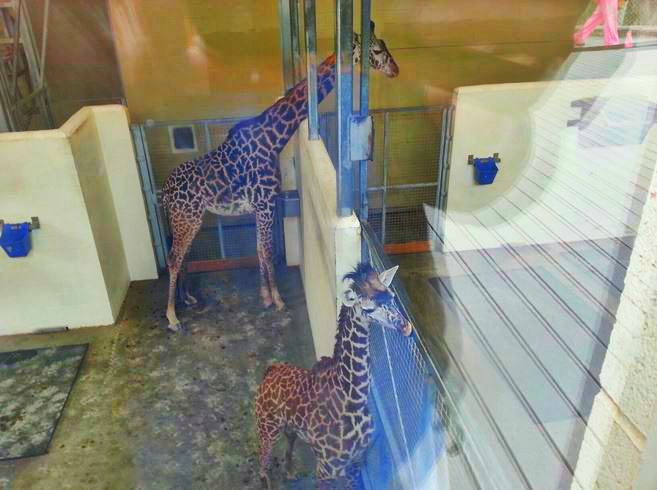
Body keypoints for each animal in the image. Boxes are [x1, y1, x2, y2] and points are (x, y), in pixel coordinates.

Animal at [161, 22, 399, 333]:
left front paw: (265, 295)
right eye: (377, 49)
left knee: (182, 256)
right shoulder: (264, 204)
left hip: (189, 219)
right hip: (186, 219)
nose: (395, 69)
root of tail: (163, 193)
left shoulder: (262, 206)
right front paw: (277, 299)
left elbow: (260, 249)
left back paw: (186, 298)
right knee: (173, 257)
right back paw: (172, 316)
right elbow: (267, 250)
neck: (273, 138)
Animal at [255, 262, 413, 489]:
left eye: (391, 296)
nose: (406, 327)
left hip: (288, 428)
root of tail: (271, 370)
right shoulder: (325, 468)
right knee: (263, 459)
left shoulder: (356, 463)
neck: (353, 401)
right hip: (267, 428)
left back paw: (291, 473)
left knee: (288, 446)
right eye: (368, 308)